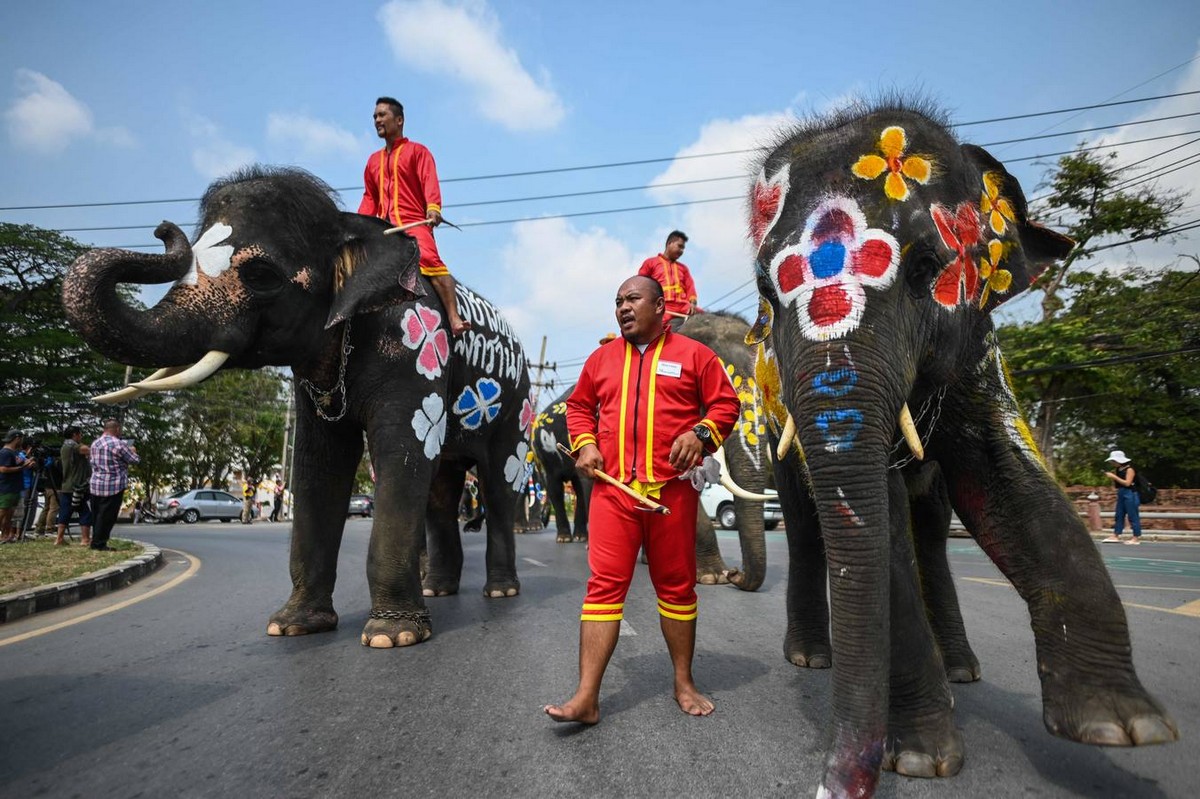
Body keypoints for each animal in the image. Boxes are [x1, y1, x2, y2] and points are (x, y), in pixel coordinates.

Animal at [60, 166, 530, 647]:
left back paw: (500, 591)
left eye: (261, 274)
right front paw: (292, 626)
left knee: (499, 482)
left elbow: (404, 451)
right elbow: (318, 462)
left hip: (516, 406)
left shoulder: (416, 356)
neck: (347, 230)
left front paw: (391, 637)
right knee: (440, 491)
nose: (161, 229)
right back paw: (439, 589)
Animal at [744, 102, 1176, 791]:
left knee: (932, 531)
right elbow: (883, 513)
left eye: (929, 268)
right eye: (765, 290)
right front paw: (924, 756)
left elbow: (1005, 472)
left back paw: (962, 670)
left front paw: (1123, 725)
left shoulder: (977, 343)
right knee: (811, 525)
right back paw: (812, 657)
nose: (834, 782)